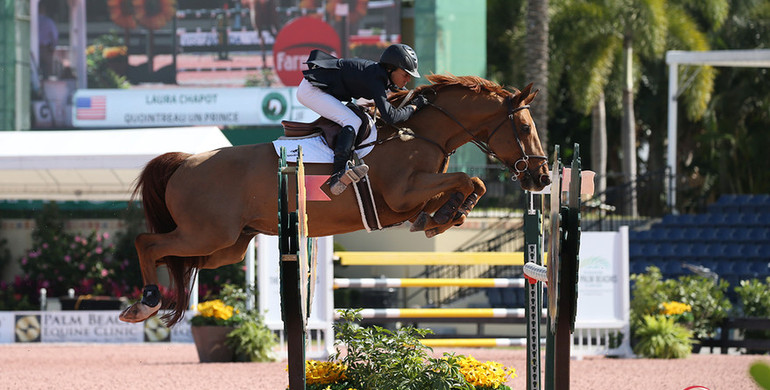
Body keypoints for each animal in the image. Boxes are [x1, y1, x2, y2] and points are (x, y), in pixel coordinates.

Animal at [120, 74, 548, 324]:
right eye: (525, 127)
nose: (541, 177)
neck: (419, 133)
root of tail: (186, 162)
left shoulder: (413, 197)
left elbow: (465, 186)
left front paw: (442, 217)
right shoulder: (402, 194)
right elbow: (469, 179)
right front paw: (445, 216)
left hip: (225, 246)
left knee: (175, 259)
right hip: (206, 234)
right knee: (147, 243)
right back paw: (145, 303)